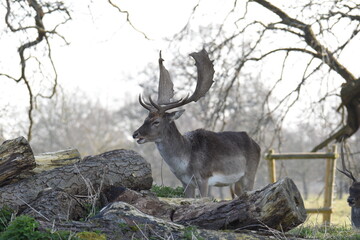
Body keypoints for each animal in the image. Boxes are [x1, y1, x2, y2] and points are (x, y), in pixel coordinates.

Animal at [131, 48, 258, 197]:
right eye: (145, 119)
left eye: (156, 121)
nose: (135, 134)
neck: (185, 164)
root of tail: (257, 144)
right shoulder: (185, 182)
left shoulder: (204, 178)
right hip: (238, 182)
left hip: (250, 173)